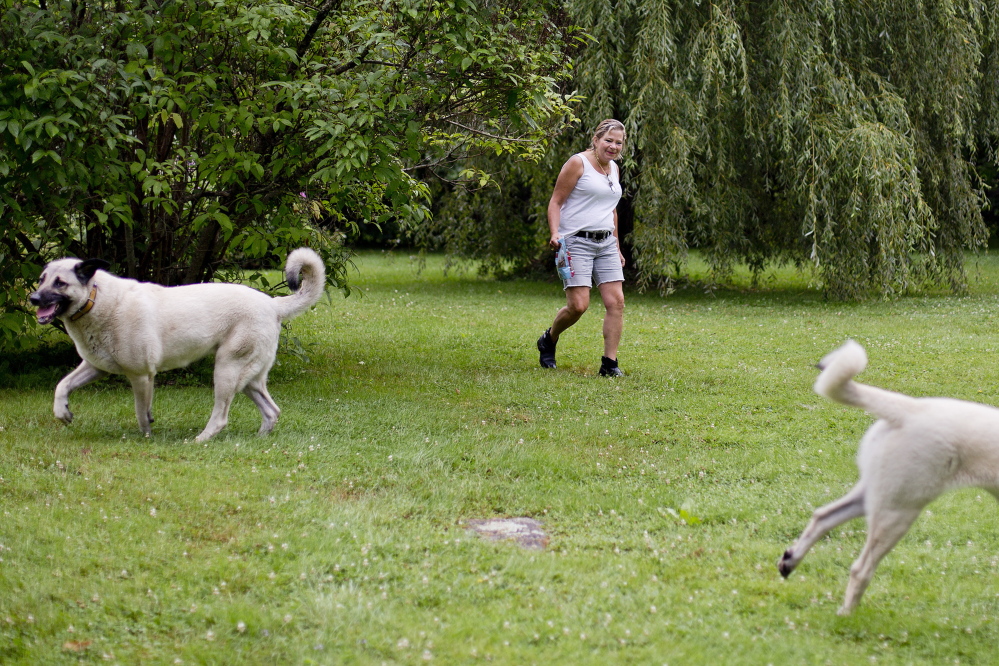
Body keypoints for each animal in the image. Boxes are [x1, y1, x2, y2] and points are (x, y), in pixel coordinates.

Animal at [29, 246, 326, 438]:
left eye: (60, 283)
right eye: (42, 280)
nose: (33, 298)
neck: (96, 298)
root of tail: (273, 304)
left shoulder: (140, 376)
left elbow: (141, 412)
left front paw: (147, 437)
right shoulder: (95, 367)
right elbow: (62, 385)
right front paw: (62, 412)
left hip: (226, 371)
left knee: (221, 417)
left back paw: (200, 440)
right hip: (248, 379)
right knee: (272, 410)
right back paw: (260, 439)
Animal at [780, 340, 999, 616]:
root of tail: (909, 408)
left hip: (877, 496)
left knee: (822, 517)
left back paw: (790, 561)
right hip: (898, 510)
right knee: (860, 569)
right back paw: (847, 615)